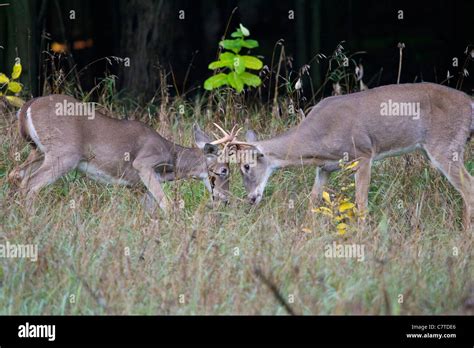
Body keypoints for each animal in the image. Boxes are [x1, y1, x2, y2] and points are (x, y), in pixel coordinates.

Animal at [7, 94, 237, 211]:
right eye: (224, 170)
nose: (226, 199)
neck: (171, 161)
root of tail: (27, 107)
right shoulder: (143, 163)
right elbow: (168, 205)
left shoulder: (137, 186)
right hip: (64, 153)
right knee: (31, 184)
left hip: (38, 150)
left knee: (16, 174)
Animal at [229, 83, 470, 231]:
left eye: (247, 166)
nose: (250, 198)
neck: (318, 140)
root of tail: (471, 103)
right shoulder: (325, 168)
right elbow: (313, 200)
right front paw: (306, 231)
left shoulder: (363, 153)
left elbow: (361, 202)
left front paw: (362, 236)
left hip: (445, 145)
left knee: (468, 186)